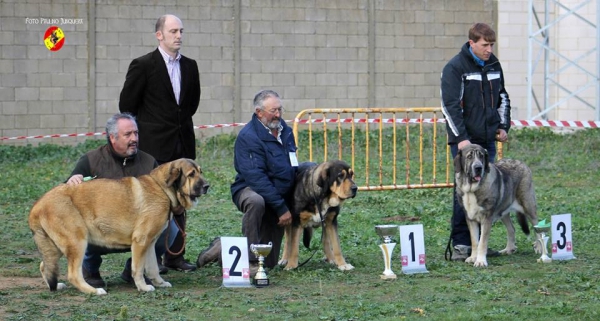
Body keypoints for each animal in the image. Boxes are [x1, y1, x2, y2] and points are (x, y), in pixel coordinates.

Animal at [29, 157, 210, 292]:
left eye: (200, 172)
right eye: (191, 174)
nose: (207, 186)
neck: (163, 188)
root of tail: (37, 205)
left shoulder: (150, 243)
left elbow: (152, 268)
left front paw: (158, 283)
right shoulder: (141, 241)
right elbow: (138, 268)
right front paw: (143, 287)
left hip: (57, 247)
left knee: (44, 265)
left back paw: (55, 286)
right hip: (77, 242)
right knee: (73, 274)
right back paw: (94, 291)